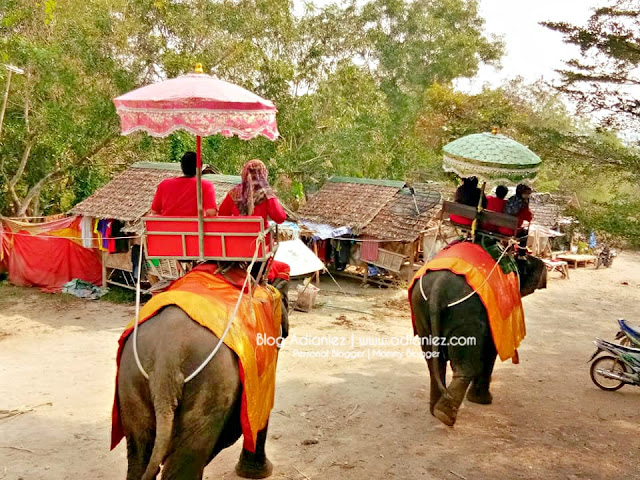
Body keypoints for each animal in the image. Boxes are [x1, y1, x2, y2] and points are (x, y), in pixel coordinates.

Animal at [410, 255, 544, 428]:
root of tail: (438, 287)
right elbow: (490, 352)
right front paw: (483, 401)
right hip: (465, 312)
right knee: (464, 366)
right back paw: (445, 415)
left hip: (420, 306)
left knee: (435, 363)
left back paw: (435, 411)